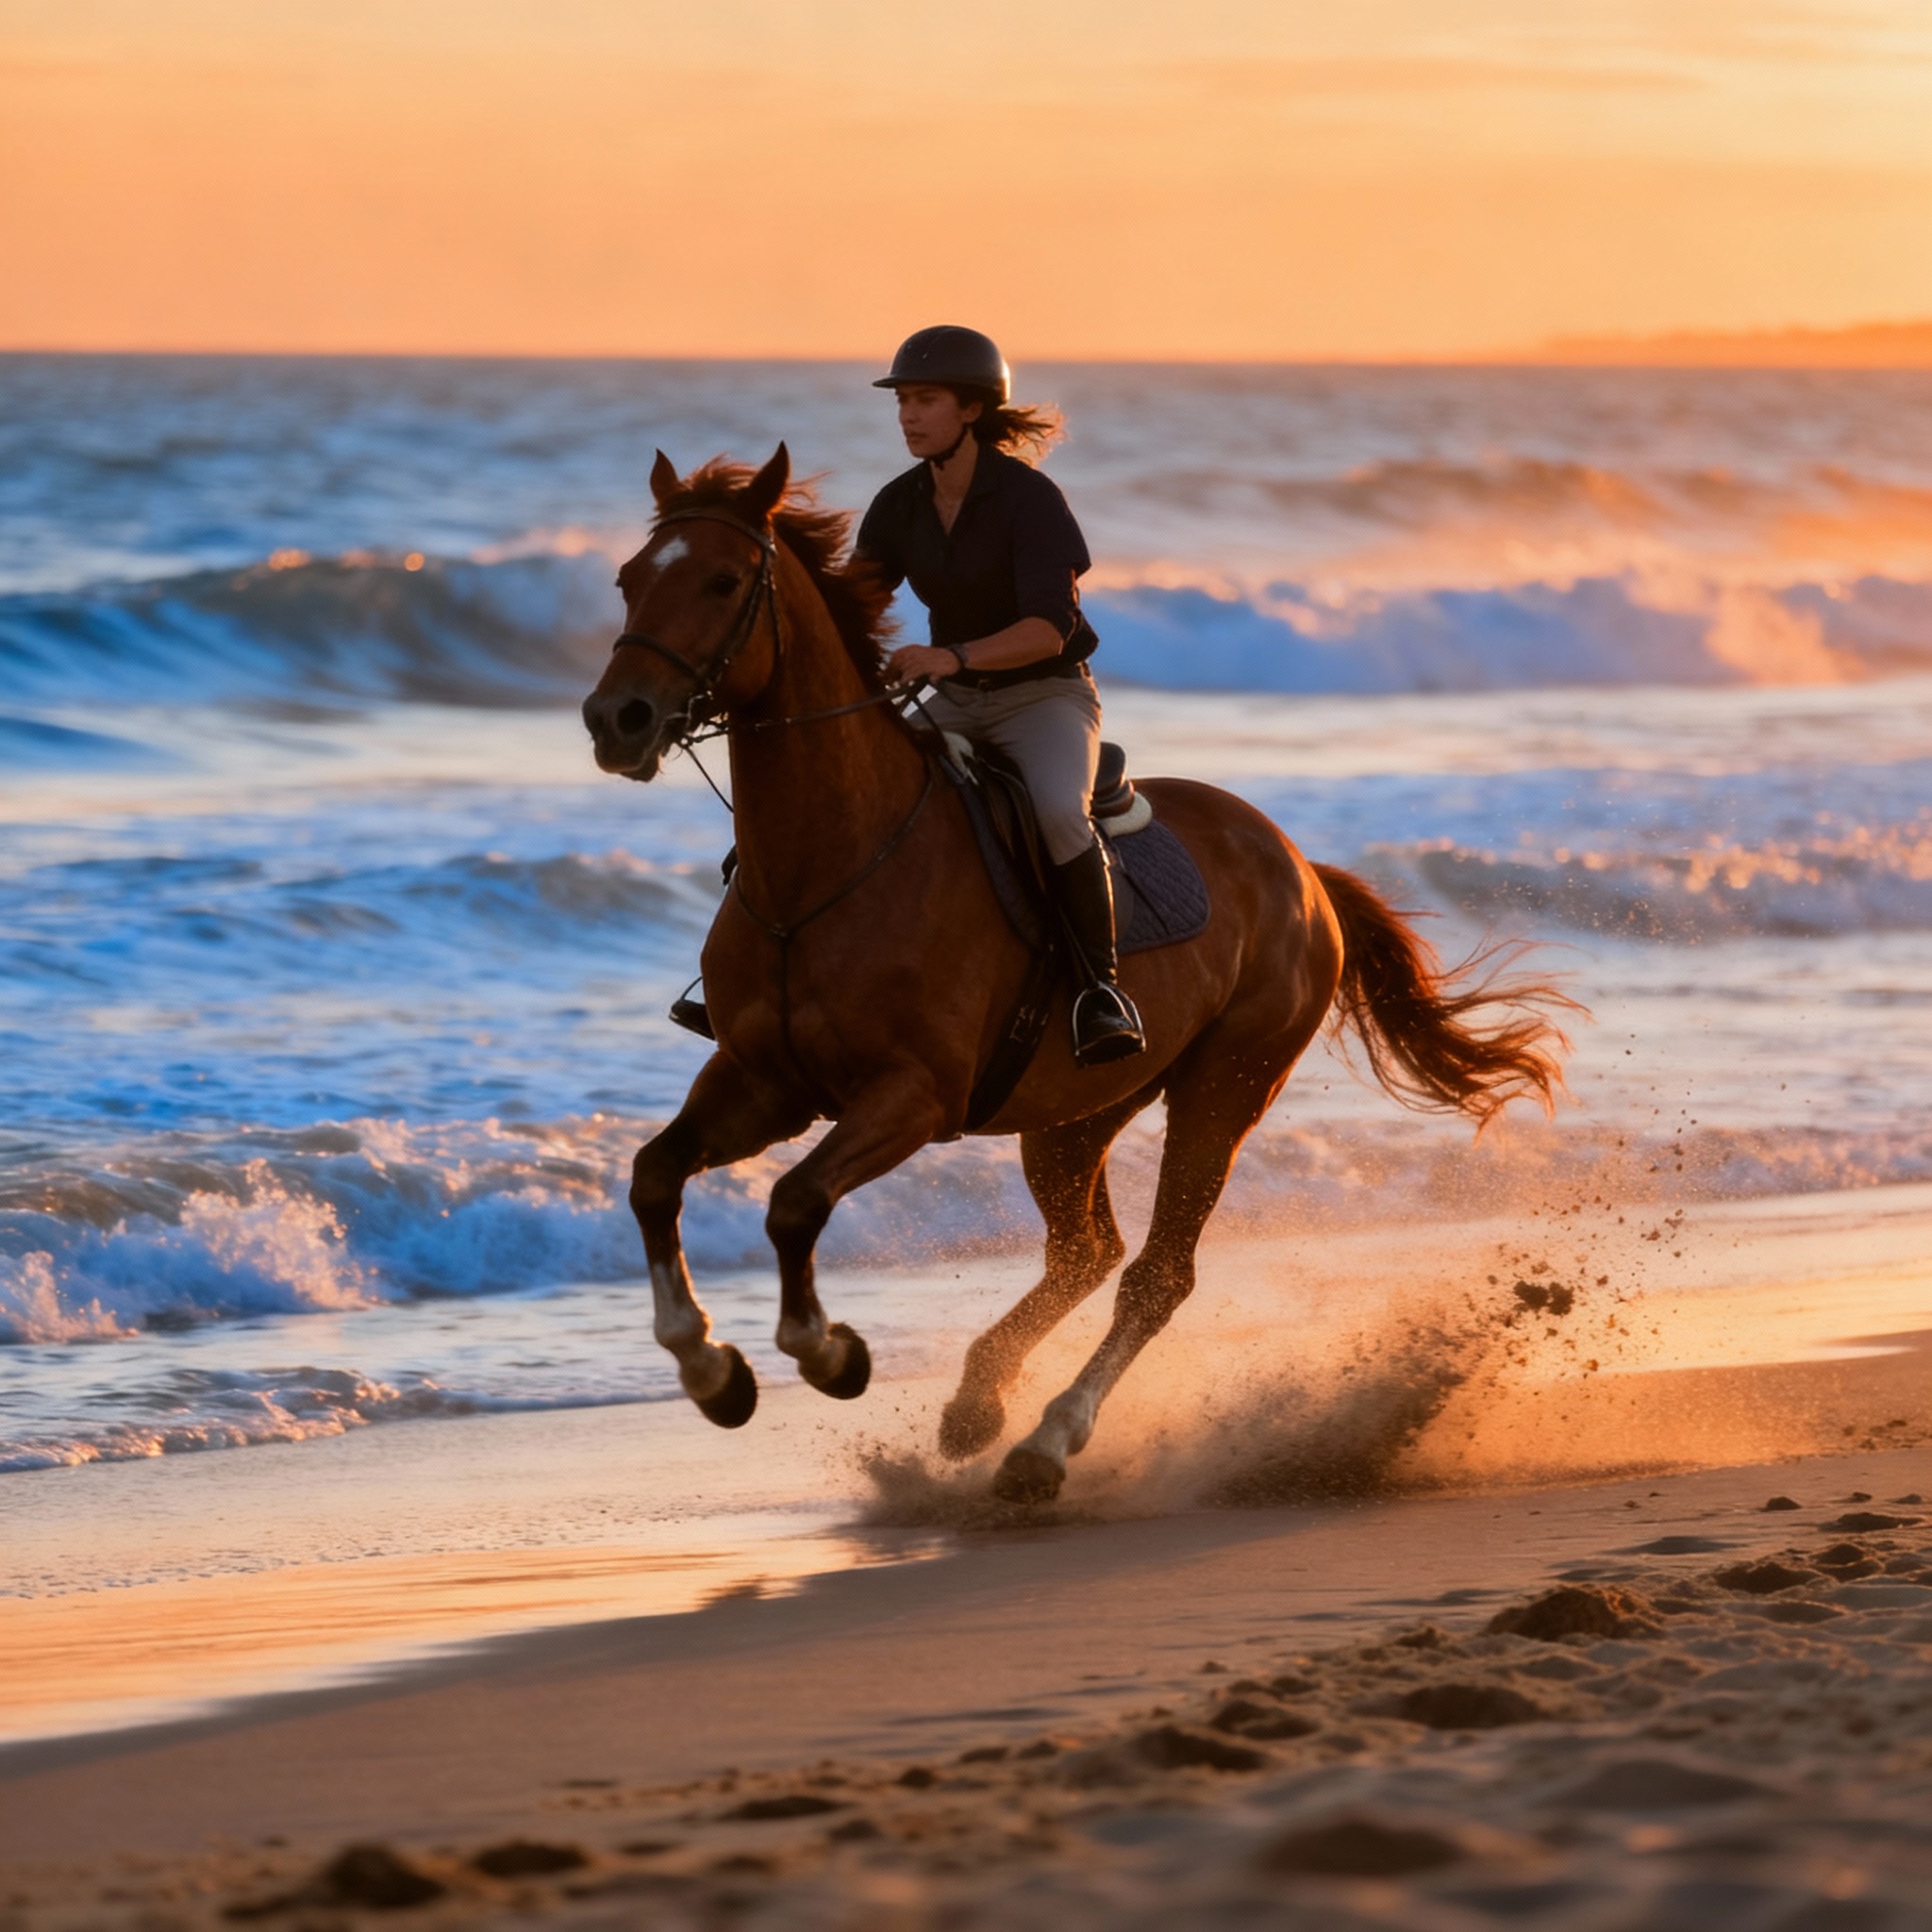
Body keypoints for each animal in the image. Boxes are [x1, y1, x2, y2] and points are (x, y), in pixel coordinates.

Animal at [581, 446, 1573, 1504]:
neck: (827, 863)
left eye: (723, 582)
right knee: (1084, 1249)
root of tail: (1301, 868)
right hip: (1072, 1112)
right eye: (629, 579)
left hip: (1224, 1087)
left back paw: (1044, 1442)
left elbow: (795, 1202)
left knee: (1155, 1273)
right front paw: (710, 1369)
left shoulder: (910, 1097)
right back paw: (977, 1405)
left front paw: (829, 1353)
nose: (617, 719)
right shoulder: (763, 1082)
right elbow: (653, 1176)